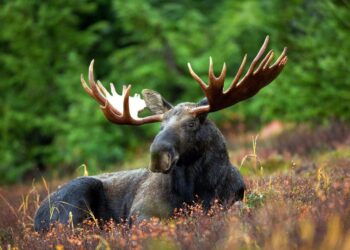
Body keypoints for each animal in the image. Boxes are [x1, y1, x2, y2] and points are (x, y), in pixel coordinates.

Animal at [33, 36, 288, 231]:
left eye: (191, 124)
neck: (198, 189)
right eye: (160, 126)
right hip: (74, 201)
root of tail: (36, 217)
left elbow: (239, 208)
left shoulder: (233, 199)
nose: (157, 155)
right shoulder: (140, 212)